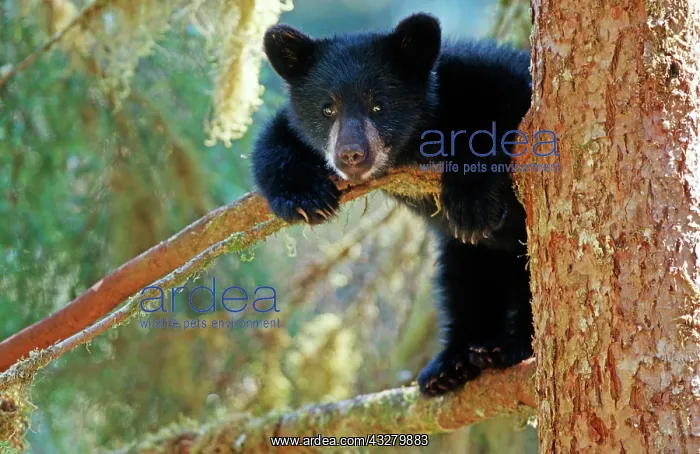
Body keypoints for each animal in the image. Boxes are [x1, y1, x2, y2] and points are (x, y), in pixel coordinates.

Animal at [251, 12, 534, 397]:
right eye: (328, 108)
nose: (351, 154)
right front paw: (304, 198)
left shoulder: (488, 77)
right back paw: (452, 364)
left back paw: (510, 347)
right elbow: (276, 137)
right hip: (472, 256)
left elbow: (500, 120)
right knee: (464, 281)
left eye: (378, 105)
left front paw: (471, 202)